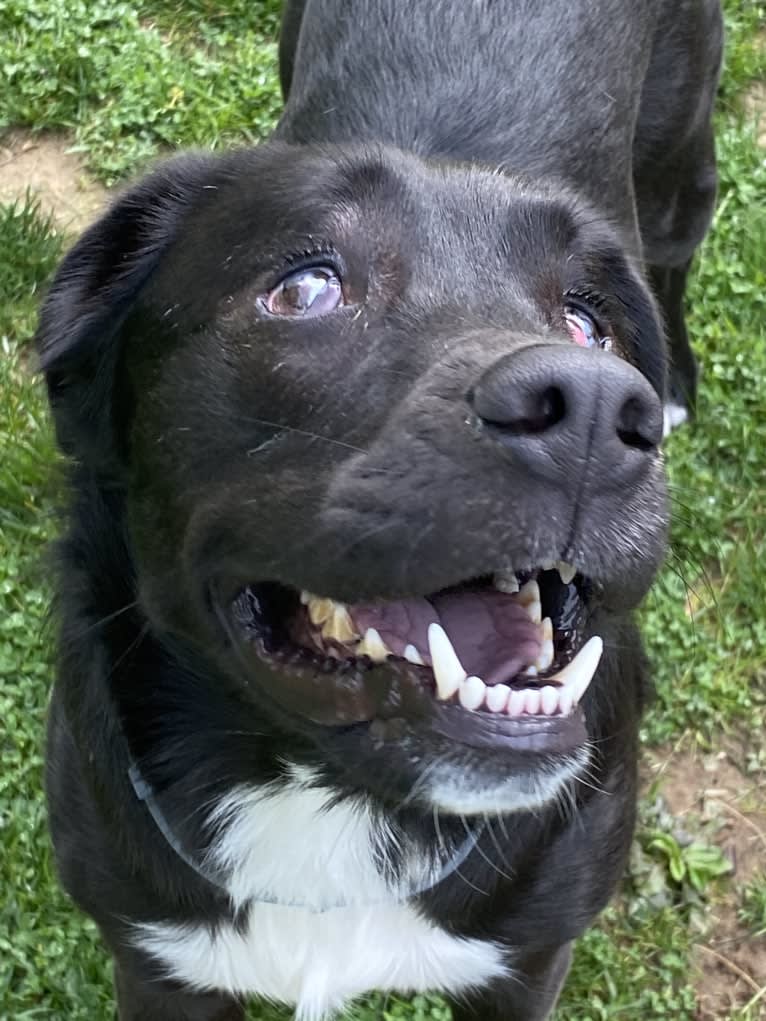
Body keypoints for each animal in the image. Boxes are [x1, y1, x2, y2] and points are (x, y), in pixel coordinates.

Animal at [37, 1, 719, 1021]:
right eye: (304, 288)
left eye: (587, 323)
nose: (602, 409)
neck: (327, 798)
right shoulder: (156, 960)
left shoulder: (528, 962)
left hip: (682, 166)